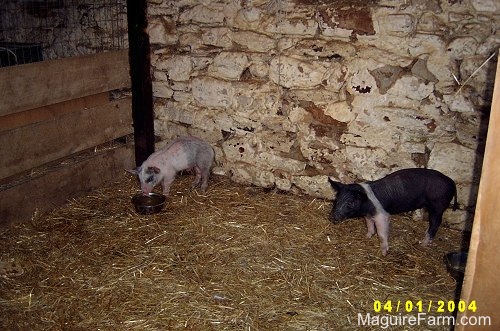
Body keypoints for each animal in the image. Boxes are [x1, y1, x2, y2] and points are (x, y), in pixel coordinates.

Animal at [330, 169, 458, 256]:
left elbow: (381, 234)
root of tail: (451, 182)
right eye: (337, 199)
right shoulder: (368, 215)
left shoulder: (382, 215)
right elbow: (369, 224)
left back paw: (423, 244)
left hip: (438, 205)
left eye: (350, 202)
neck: (367, 206)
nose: (333, 217)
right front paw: (367, 236)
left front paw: (383, 253)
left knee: (435, 223)